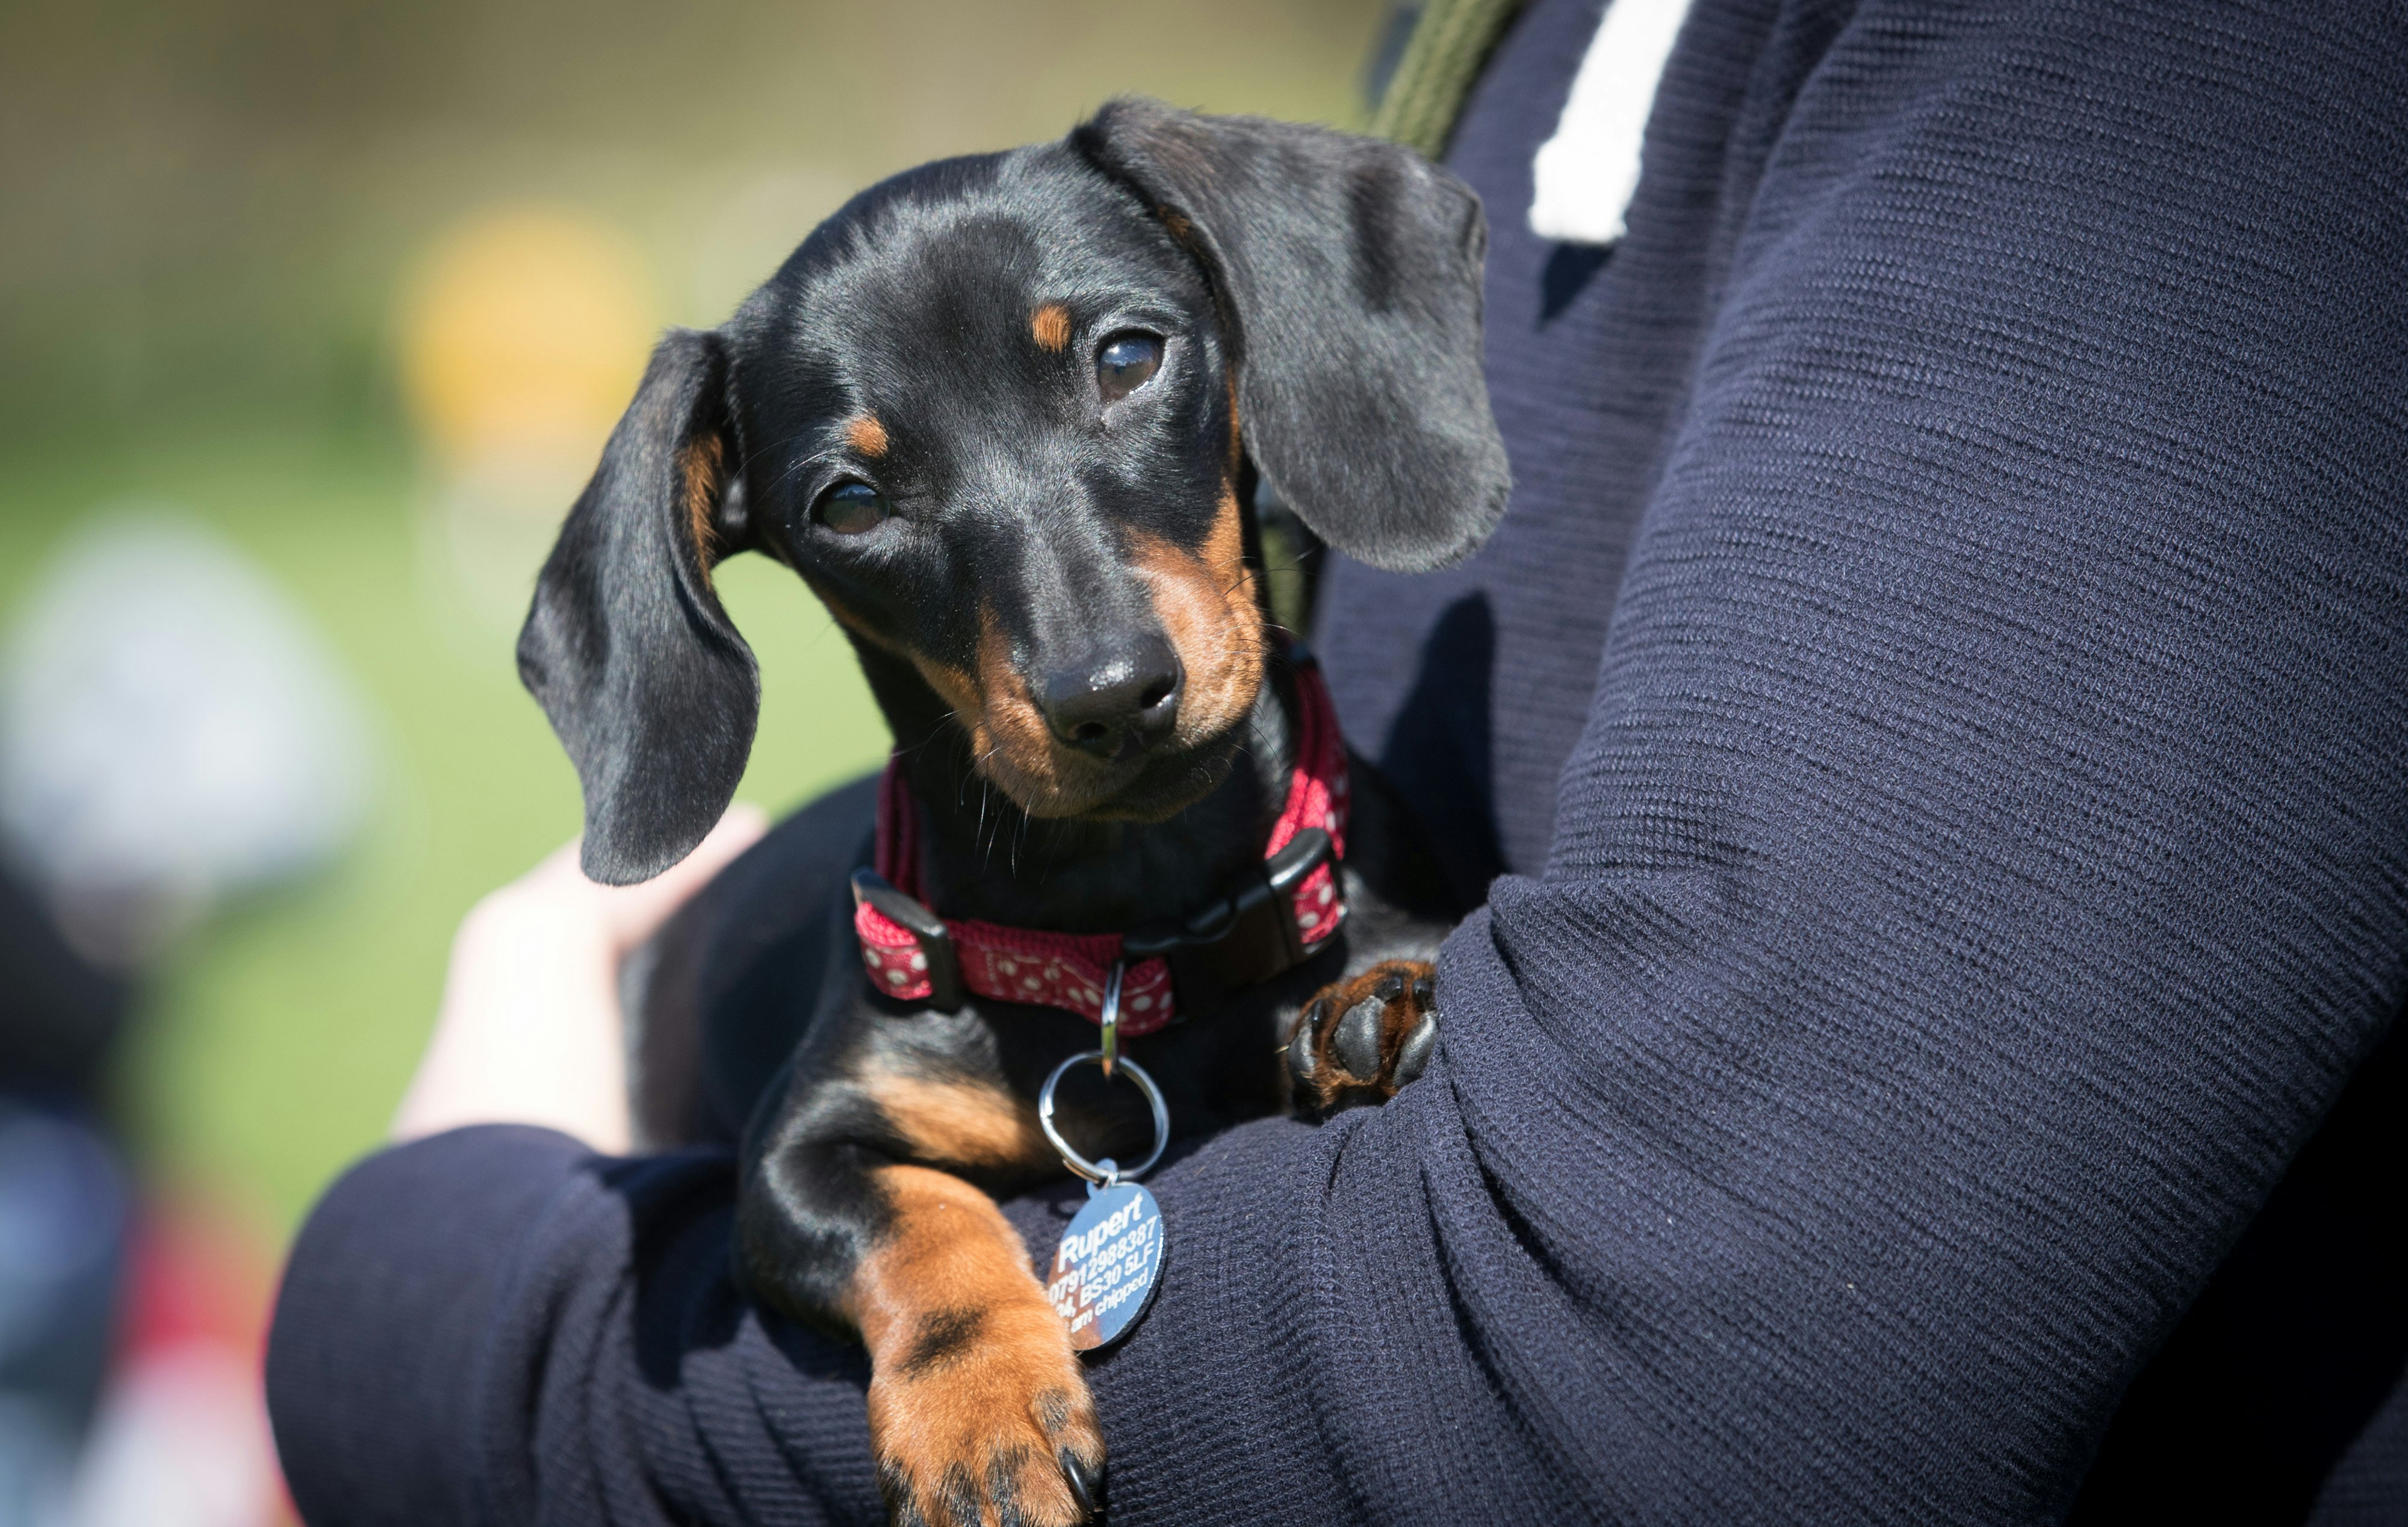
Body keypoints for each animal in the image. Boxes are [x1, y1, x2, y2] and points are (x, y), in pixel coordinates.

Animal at [518, 98, 1503, 1522]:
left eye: (1127, 356)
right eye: (850, 502)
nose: (1111, 696)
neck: (1127, 935)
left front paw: (1359, 1010)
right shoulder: (795, 1155)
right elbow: (919, 1223)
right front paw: (980, 1414)